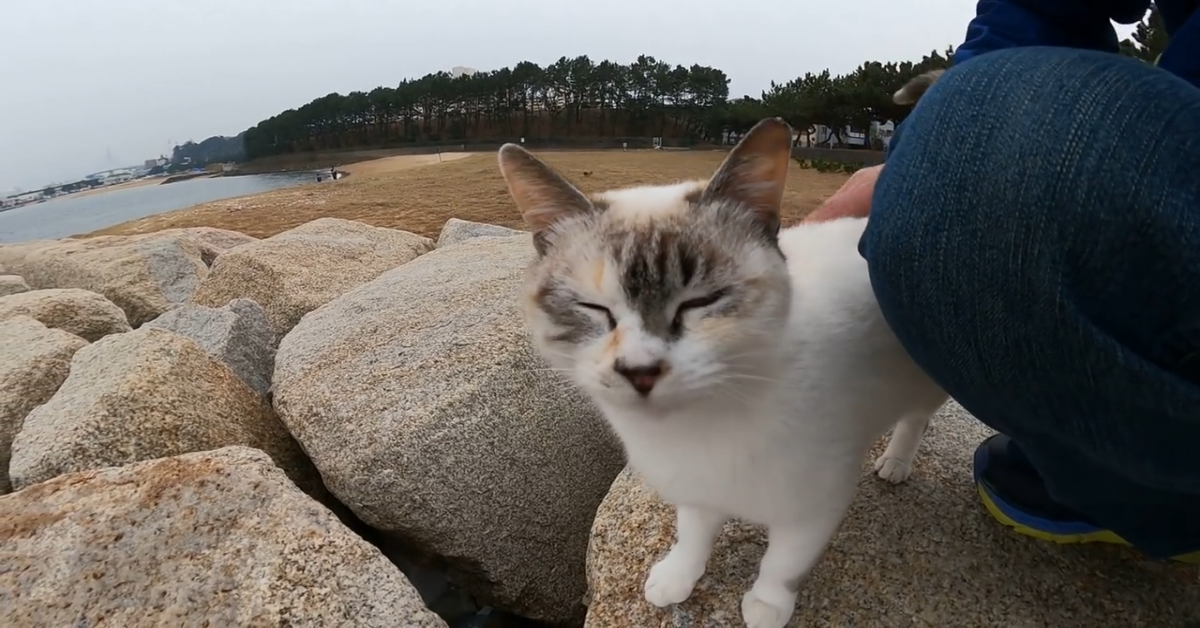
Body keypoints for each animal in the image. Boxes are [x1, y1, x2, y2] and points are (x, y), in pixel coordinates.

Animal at [496, 111, 945, 624]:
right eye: (594, 309)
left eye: (700, 302)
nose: (640, 370)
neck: (697, 427)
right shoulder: (697, 488)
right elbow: (693, 535)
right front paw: (677, 577)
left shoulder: (815, 504)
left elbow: (781, 565)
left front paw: (766, 607)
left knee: (916, 418)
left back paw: (895, 462)